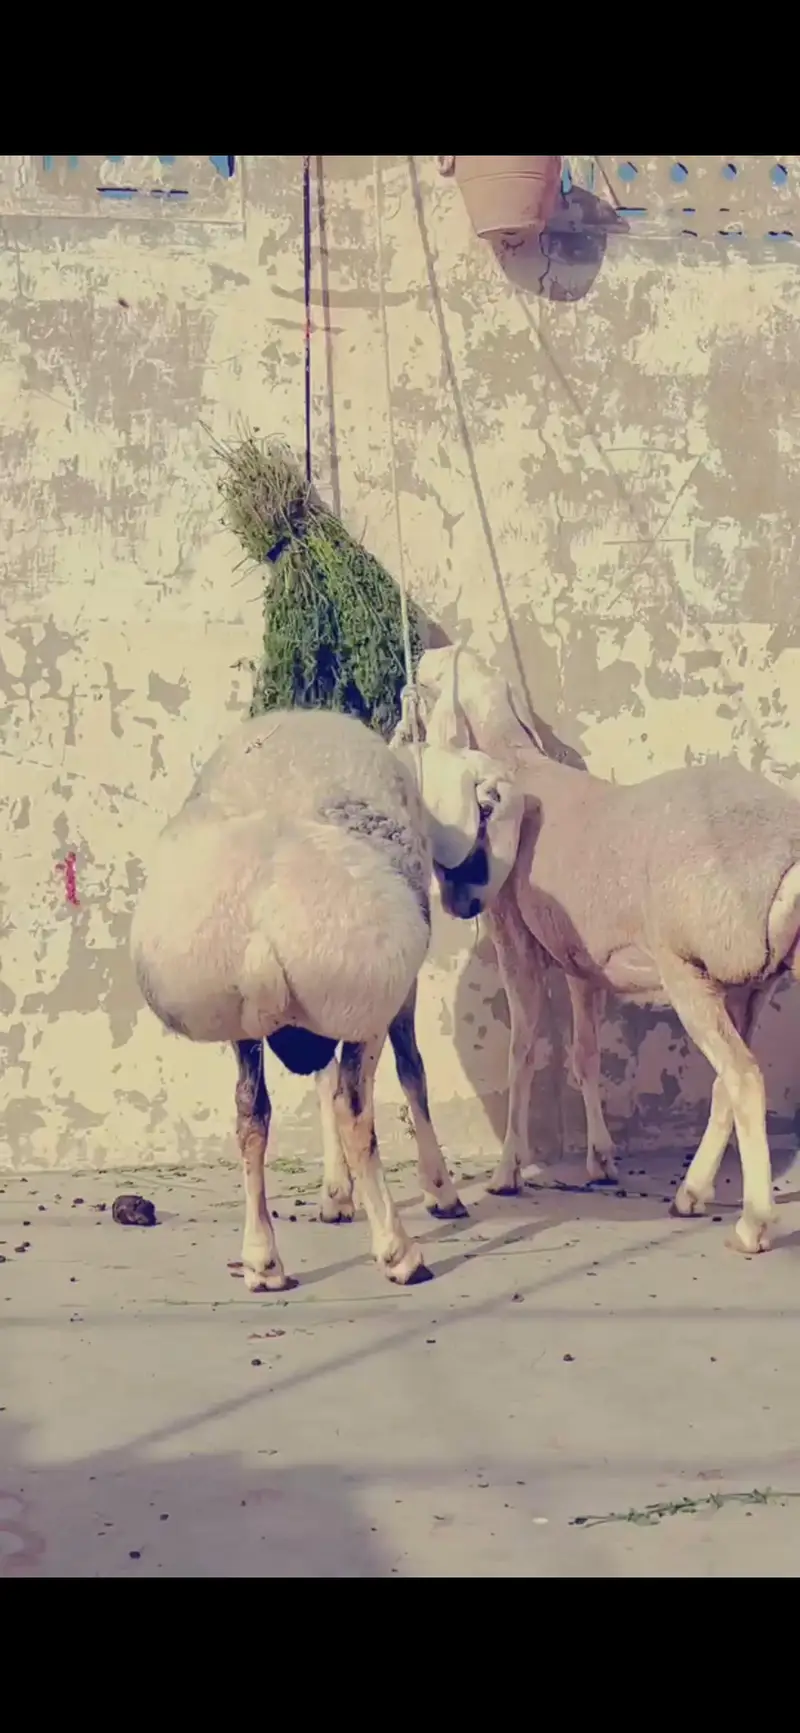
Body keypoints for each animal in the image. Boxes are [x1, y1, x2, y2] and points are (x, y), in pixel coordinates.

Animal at [130, 705, 470, 1293]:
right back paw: (399, 1253)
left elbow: (317, 1085)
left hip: (244, 1020)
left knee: (251, 1115)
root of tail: (262, 935)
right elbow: (410, 1074)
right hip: (365, 996)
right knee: (354, 1110)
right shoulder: (395, 997)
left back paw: (262, 1259)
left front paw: (336, 1195)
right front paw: (438, 1189)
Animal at [413, 642, 800, 1256]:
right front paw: (600, 1160)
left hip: (688, 968)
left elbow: (523, 1051)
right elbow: (584, 1055)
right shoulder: (583, 963)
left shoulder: (515, 936)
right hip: (754, 981)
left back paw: (752, 1225)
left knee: (742, 1078)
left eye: (426, 683)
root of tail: (786, 846)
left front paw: (507, 1172)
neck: (517, 757)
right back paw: (689, 1194)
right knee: (726, 1082)